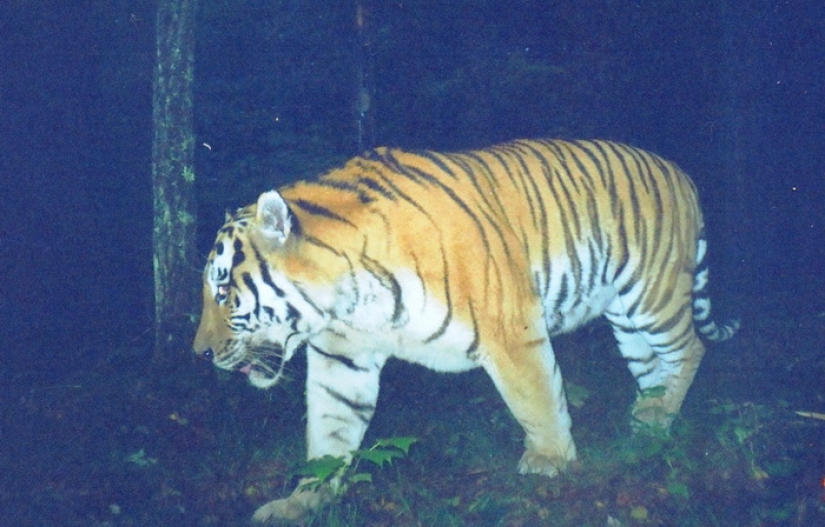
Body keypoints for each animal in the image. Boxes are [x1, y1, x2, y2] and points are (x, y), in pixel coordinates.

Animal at [193, 139, 738, 523]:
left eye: (222, 289)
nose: (199, 354)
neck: (344, 302)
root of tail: (679, 171)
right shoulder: (341, 359)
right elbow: (329, 434)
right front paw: (302, 502)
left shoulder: (513, 329)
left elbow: (537, 399)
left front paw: (550, 462)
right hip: (625, 318)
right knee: (653, 368)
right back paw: (646, 426)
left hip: (653, 296)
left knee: (691, 349)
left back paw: (661, 418)